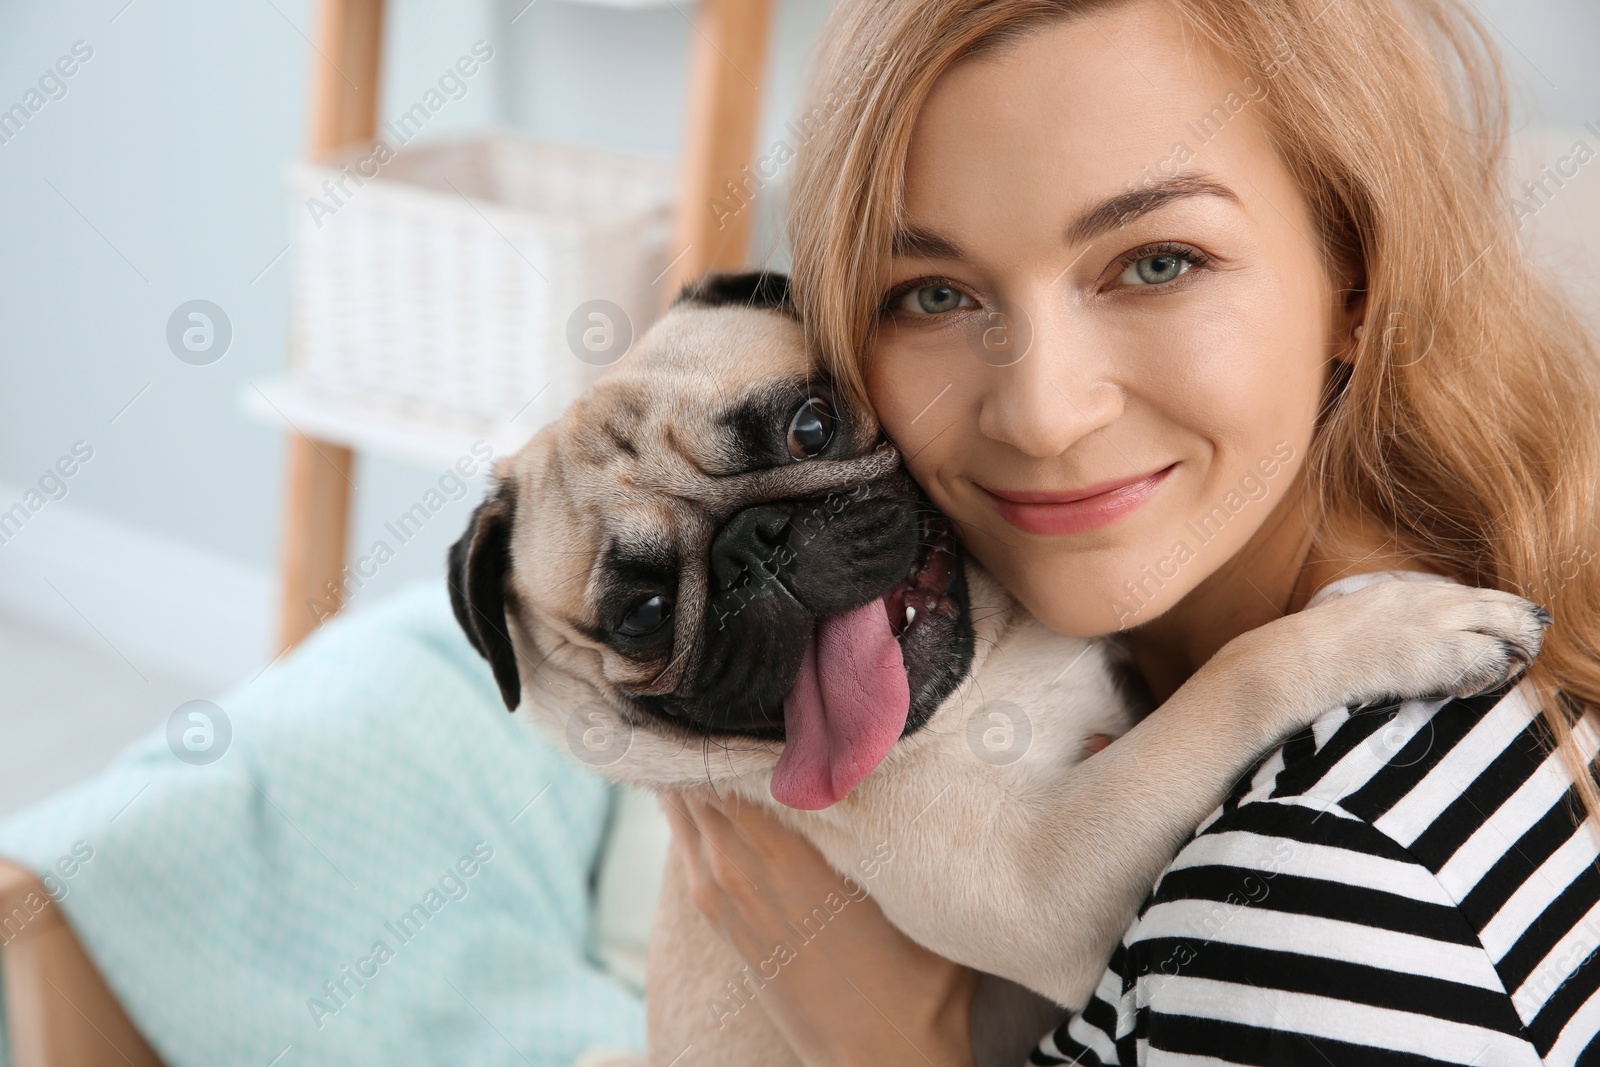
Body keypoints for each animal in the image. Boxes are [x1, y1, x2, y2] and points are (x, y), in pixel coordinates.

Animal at [451, 271, 1548, 1062]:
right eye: (637, 615)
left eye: (810, 423)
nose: (753, 547)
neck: (993, 675)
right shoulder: (1042, 882)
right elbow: (1235, 675)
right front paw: (1406, 621)